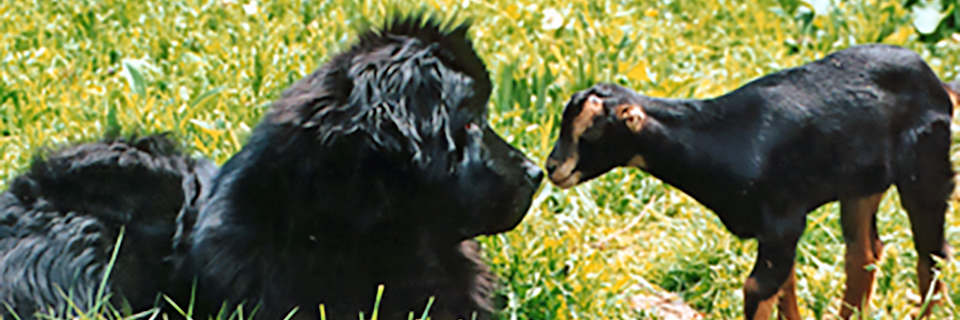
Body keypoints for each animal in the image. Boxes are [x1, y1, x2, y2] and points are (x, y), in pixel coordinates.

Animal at [548, 46, 960, 318]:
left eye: (595, 130)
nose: (553, 167)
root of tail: (937, 82)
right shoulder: (774, 231)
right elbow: (784, 289)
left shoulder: (782, 222)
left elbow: (758, 288)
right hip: (861, 186)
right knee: (864, 252)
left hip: (926, 168)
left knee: (931, 252)